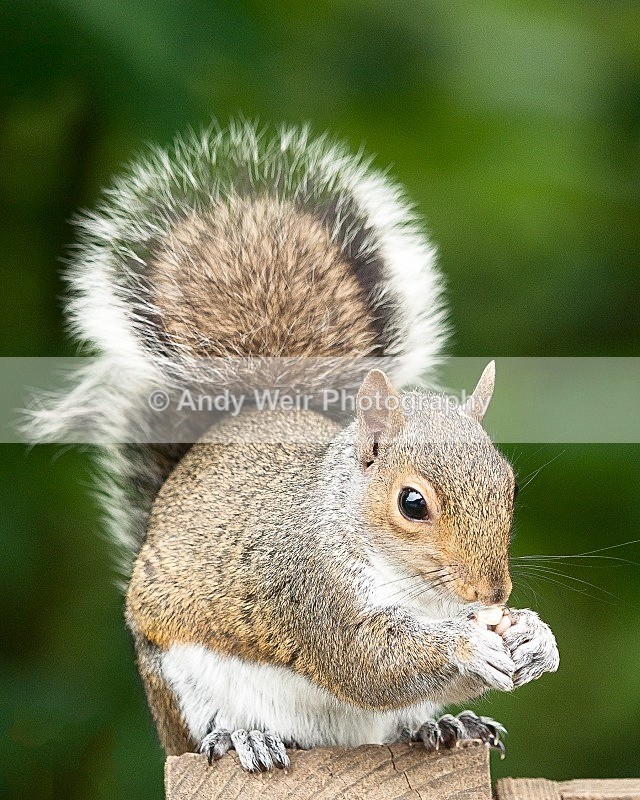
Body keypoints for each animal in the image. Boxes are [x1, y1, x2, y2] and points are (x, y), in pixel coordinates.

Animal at [29, 122, 559, 772]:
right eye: (412, 504)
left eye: (511, 487)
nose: (492, 593)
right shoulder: (310, 593)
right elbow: (370, 665)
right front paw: (466, 646)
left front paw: (535, 638)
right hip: (182, 689)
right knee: (212, 730)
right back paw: (239, 738)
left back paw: (446, 725)